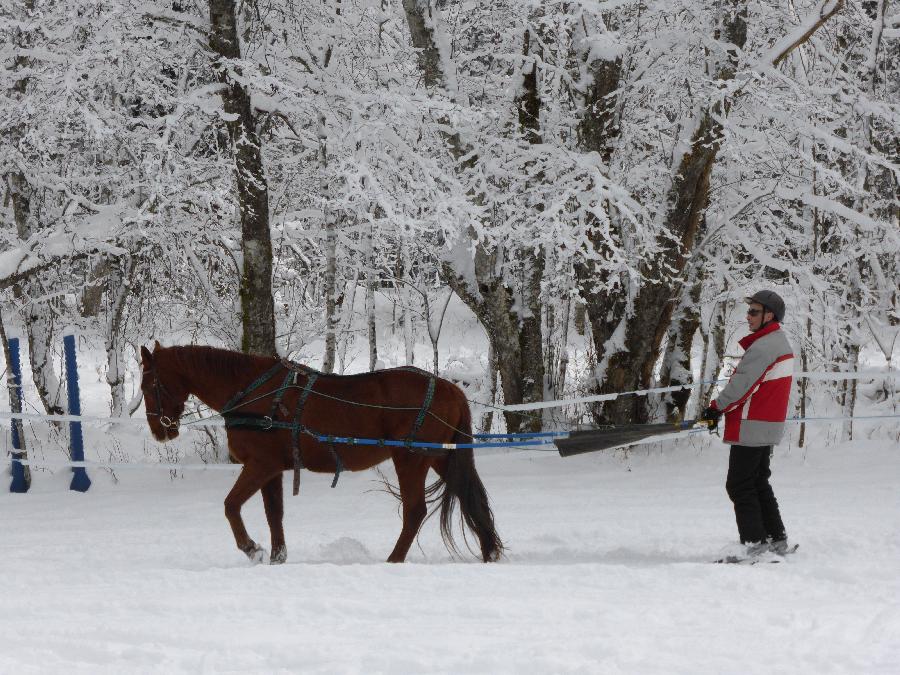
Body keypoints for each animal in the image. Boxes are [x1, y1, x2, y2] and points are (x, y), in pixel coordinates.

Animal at [142, 344, 506, 564]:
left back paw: (394, 560)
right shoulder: (273, 468)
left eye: (151, 385)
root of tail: (450, 387)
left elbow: (231, 506)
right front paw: (277, 556)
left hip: (411, 458)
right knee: (470, 499)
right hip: (442, 457)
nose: (161, 431)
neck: (254, 394)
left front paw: (252, 549)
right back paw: (489, 550)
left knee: (415, 511)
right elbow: (274, 514)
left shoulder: (259, 465)